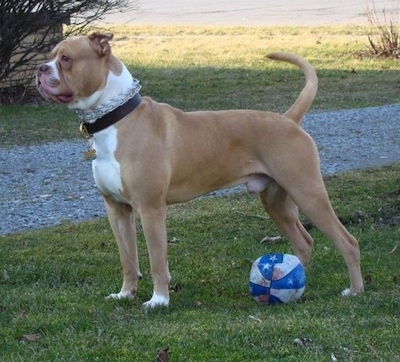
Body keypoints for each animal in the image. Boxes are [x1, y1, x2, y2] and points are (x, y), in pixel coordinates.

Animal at [36, 31, 362, 308]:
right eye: (50, 55)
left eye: (66, 58)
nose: (40, 69)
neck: (116, 118)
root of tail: (289, 120)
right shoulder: (117, 211)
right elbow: (128, 260)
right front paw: (125, 294)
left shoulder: (150, 210)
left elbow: (156, 261)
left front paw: (159, 300)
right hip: (277, 203)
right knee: (303, 243)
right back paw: (291, 287)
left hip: (308, 193)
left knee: (347, 241)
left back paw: (355, 290)